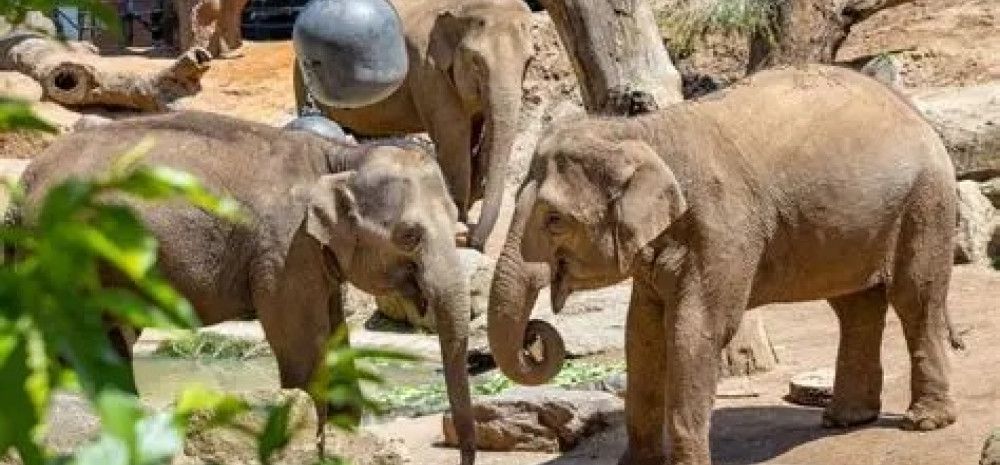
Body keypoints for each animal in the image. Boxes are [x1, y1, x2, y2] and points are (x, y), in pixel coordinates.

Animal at [19, 111, 477, 465]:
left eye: (457, 218)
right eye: (410, 236)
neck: (339, 158)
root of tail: (25, 182)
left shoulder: (314, 256)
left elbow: (334, 336)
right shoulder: (285, 250)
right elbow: (301, 350)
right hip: (62, 253)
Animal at [293, 0, 535, 251]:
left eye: (529, 62)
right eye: (476, 62)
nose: (473, 242)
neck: (463, 7)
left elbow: (473, 133)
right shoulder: (428, 71)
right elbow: (454, 137)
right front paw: (457, 221)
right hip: (303, 81)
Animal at [486, 65, 963, 465]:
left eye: (554, 219)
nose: (533, 334)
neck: (641, 131)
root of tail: (913, 110)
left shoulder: (723, 228)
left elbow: (695, 330)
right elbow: (641, 333)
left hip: (926, 201)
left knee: (915, 296)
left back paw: (924, 421)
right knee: (855, 306)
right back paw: (844, 418)